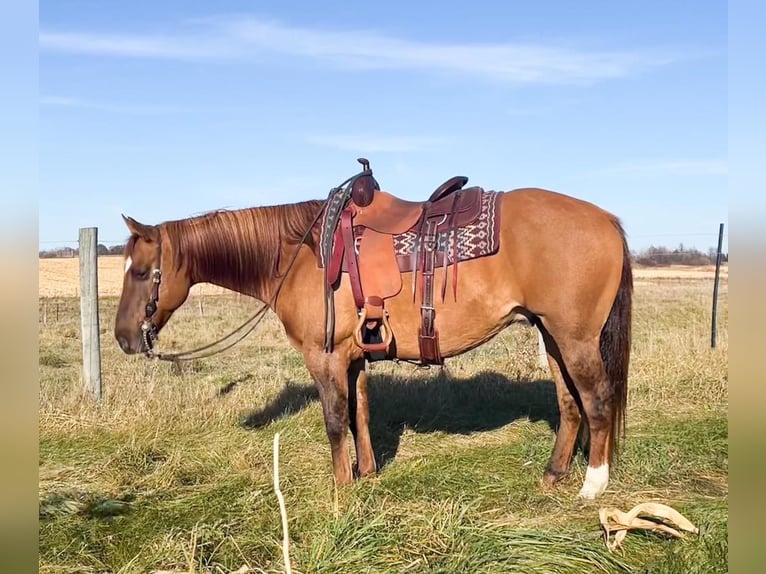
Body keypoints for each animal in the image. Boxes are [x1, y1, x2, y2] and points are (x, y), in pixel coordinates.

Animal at [114, 169, 632, 502]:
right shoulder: (354, 356)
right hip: (552, 336)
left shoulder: (323, 357)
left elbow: (334, 421)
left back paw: (593, 486)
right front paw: (366, 474)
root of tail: (606, 218)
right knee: (569, 403)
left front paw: (342, 490)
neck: (301, 255)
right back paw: (553, 474)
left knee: (597, 401)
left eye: (140, 271)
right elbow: (360, 414)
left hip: (575, 339)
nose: (122, 339)